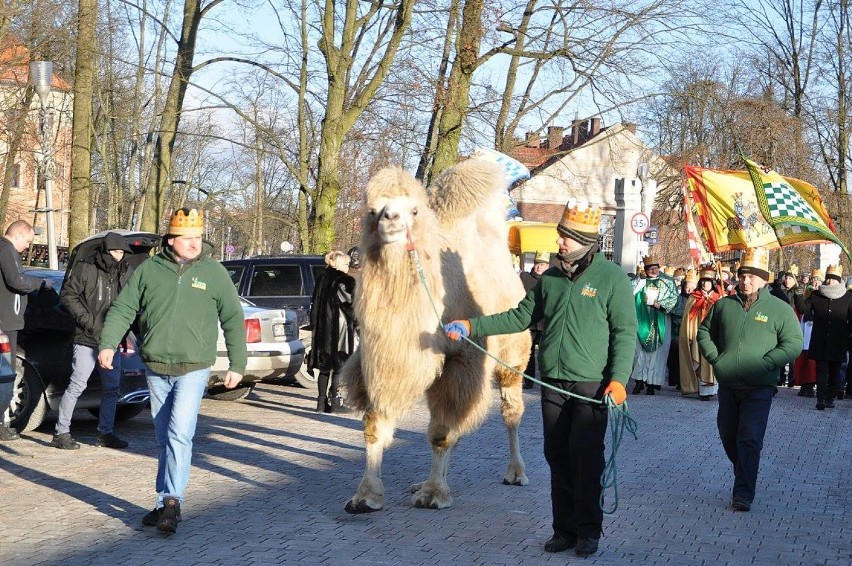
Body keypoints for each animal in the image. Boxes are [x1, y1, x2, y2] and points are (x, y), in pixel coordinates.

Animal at [342, 160, 528, 516]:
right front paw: (366, 496)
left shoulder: (463, 359)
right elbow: (375, 424)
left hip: (512, 357)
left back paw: (515, 472)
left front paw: (433, 494)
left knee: (510, 412)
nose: (390, 218)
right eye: (372, 210)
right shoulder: (379, 359)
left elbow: (442, 432)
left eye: (414, 210)